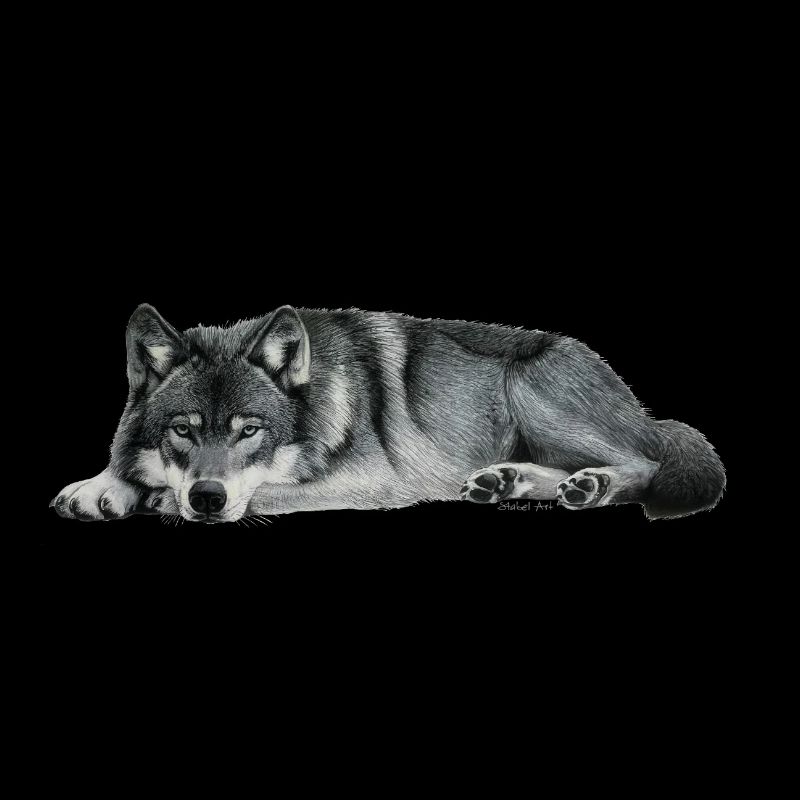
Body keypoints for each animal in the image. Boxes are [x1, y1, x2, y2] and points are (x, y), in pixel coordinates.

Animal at [51, 305, 725, 523]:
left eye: (250, 431)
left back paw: (591, 485)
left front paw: (157, 498)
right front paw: (100, 487)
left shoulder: (374, 481)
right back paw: (506, 481)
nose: (208, 498)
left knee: (644, 464)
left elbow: (263, 490)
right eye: (183, 430)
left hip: (534, 391)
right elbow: (126, 466)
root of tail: (644, 409)